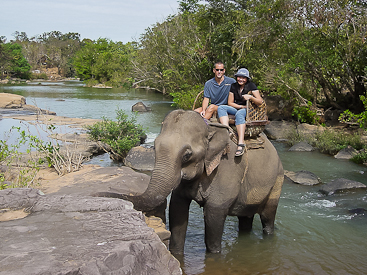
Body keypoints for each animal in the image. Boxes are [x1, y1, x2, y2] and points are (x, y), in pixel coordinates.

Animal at [123, 109, 284, 254]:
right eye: (154, 148)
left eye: (187, 155)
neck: (210, 129)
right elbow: (177, 209)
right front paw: (176, 253)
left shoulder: (229, 168)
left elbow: (214, 214)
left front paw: (214, 254)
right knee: (245, 218)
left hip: (277, 180)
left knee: (268, 216)